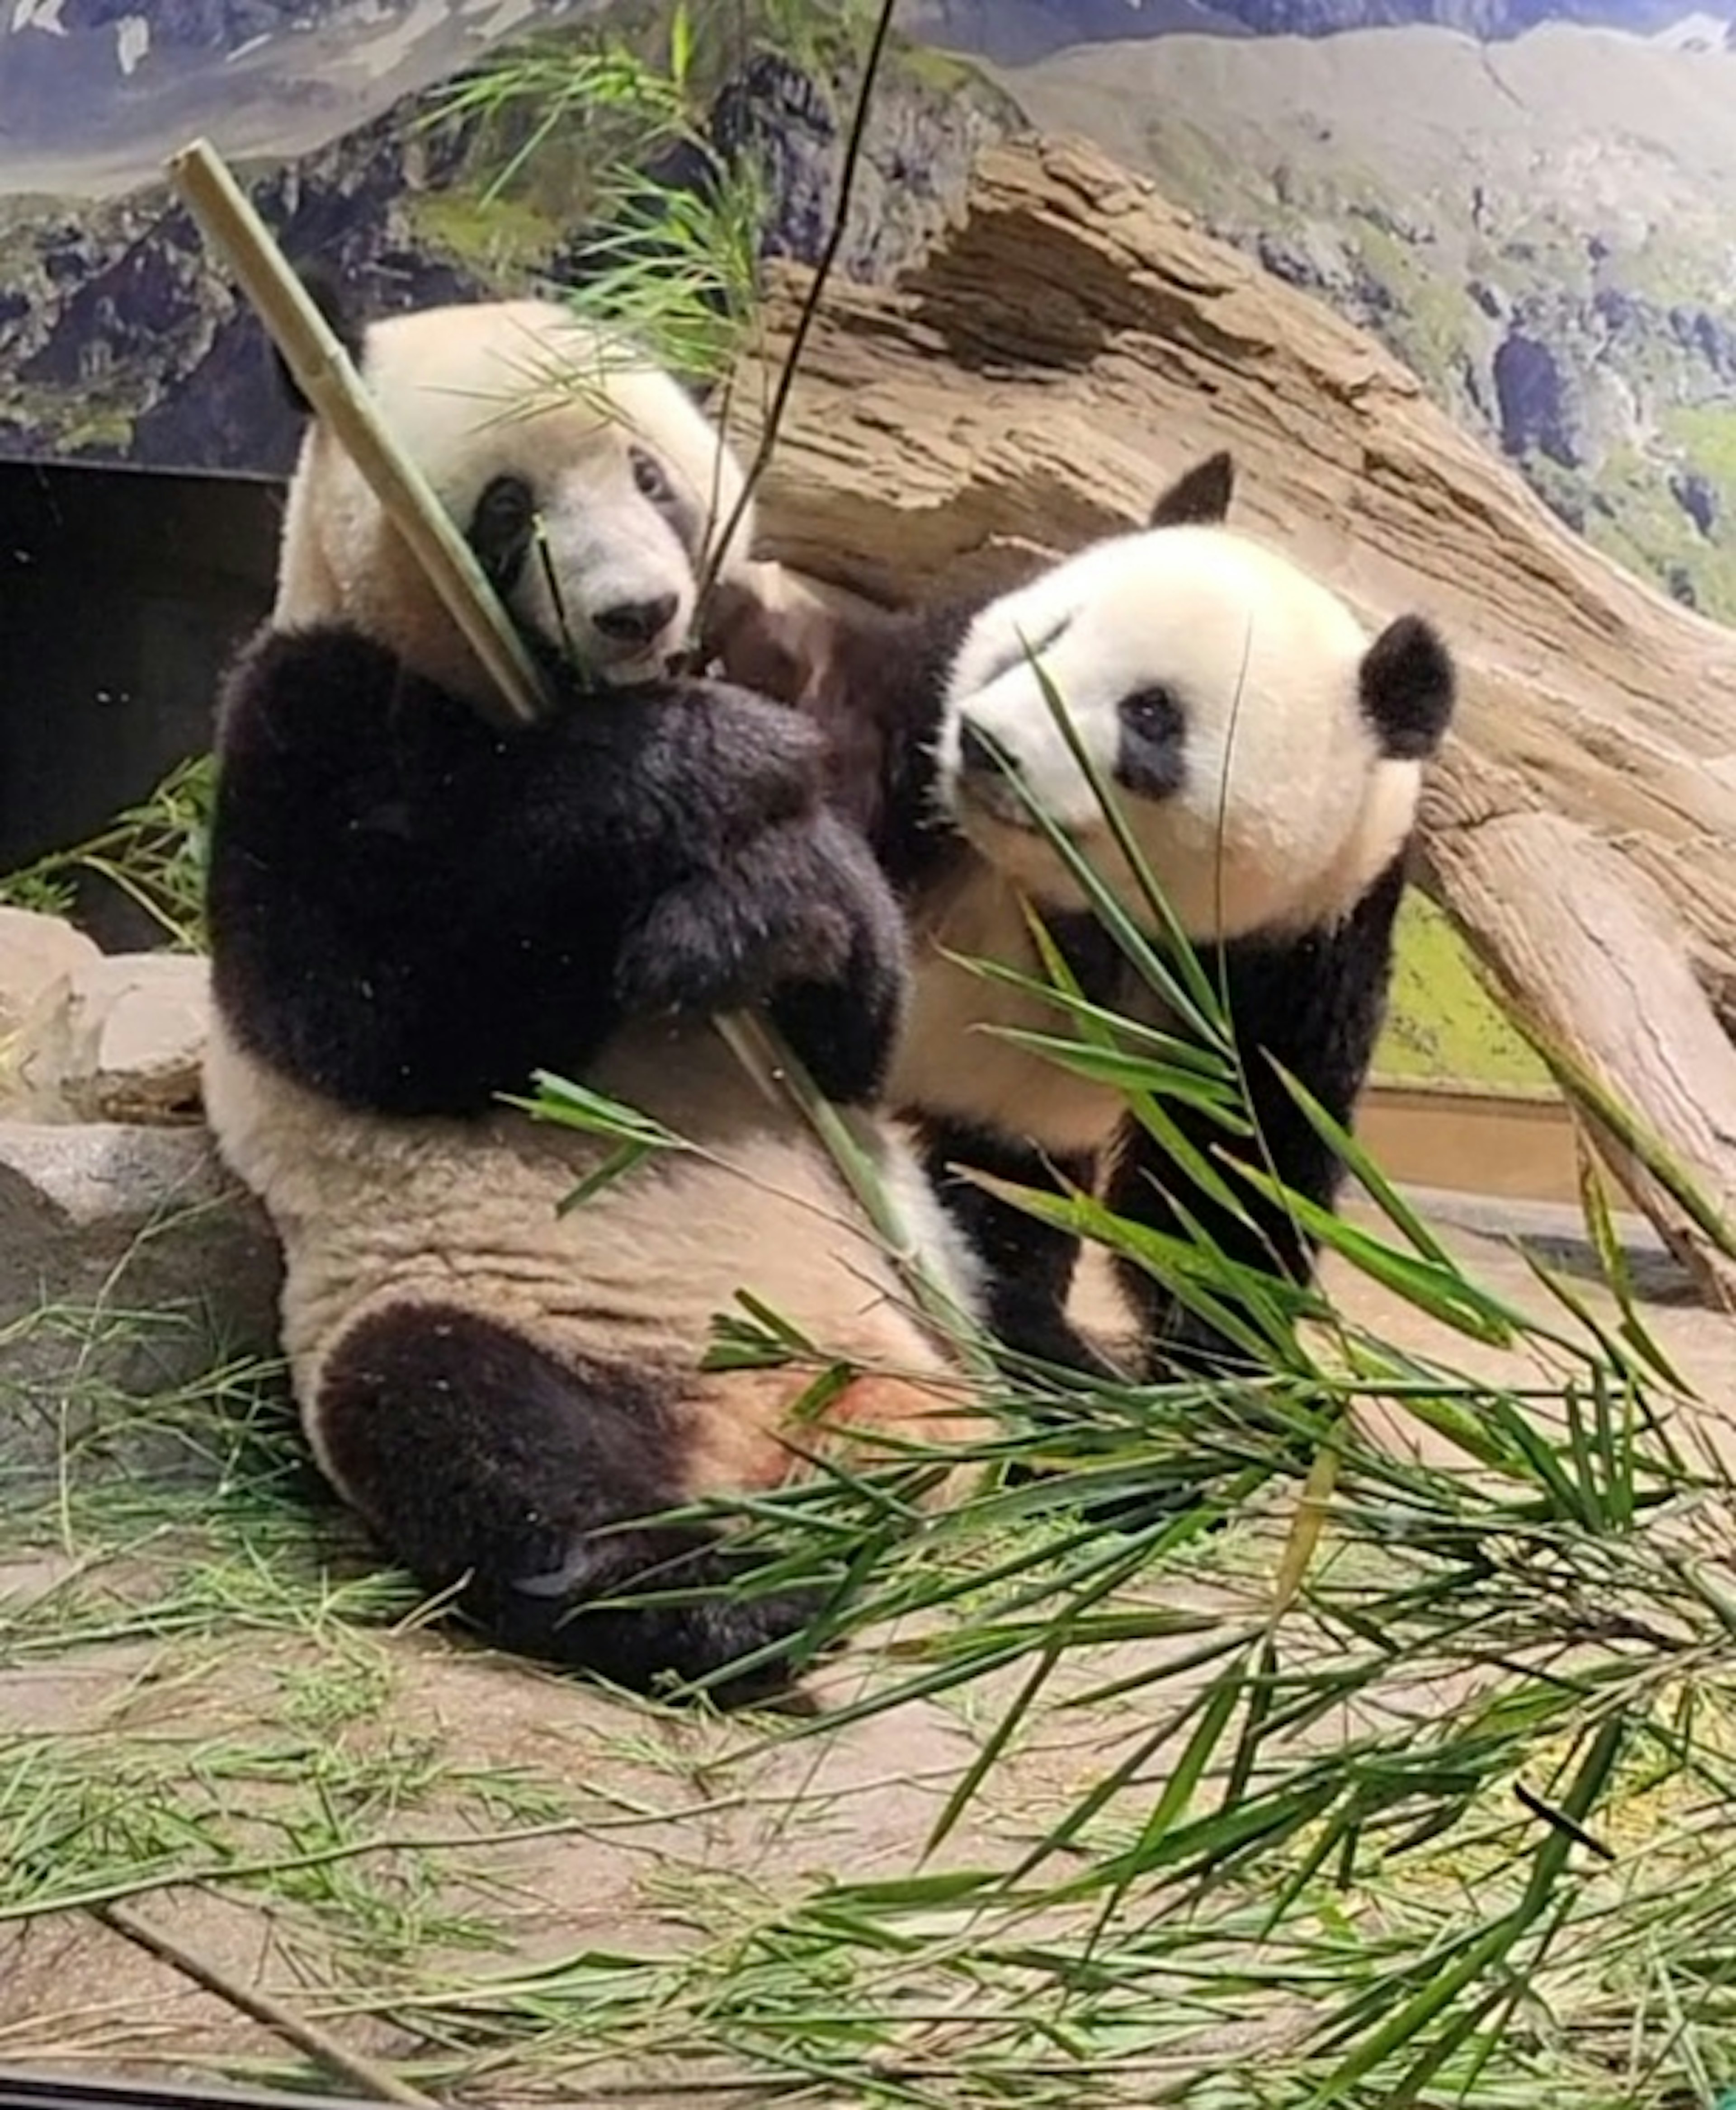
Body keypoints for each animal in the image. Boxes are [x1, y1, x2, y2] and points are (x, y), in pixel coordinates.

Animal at [200, 293, 991, 1713]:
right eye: (507, 506)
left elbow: (858, 1033)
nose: (636, 611)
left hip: (925, 1288)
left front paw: (765, 903)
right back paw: (731, 1600)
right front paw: (678, 767)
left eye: (651, 478)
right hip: (483, 1301)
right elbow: (369, 1008)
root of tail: (784, 1428)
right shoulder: (310, 701)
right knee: (473, 1429)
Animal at [704, 457, 1451, 1384]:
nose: (988, 745)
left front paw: (1223, 1382)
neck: (1070, 900)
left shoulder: (1295, 952)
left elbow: (1225, 1182)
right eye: (1050, 633)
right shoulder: (926, 715)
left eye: (1151, 713)